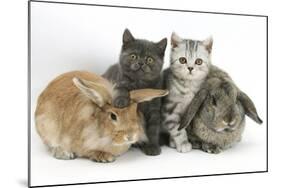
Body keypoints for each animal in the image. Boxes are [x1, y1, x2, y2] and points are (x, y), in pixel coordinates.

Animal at [102, 28, 166, 156]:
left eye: (149, 59)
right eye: (133, 56)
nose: (141, 63)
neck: (140, 84)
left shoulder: (154, 108)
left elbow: (153, 128)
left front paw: (152, 146)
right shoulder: (119, 80)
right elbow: (121, 89)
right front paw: (121, 101)